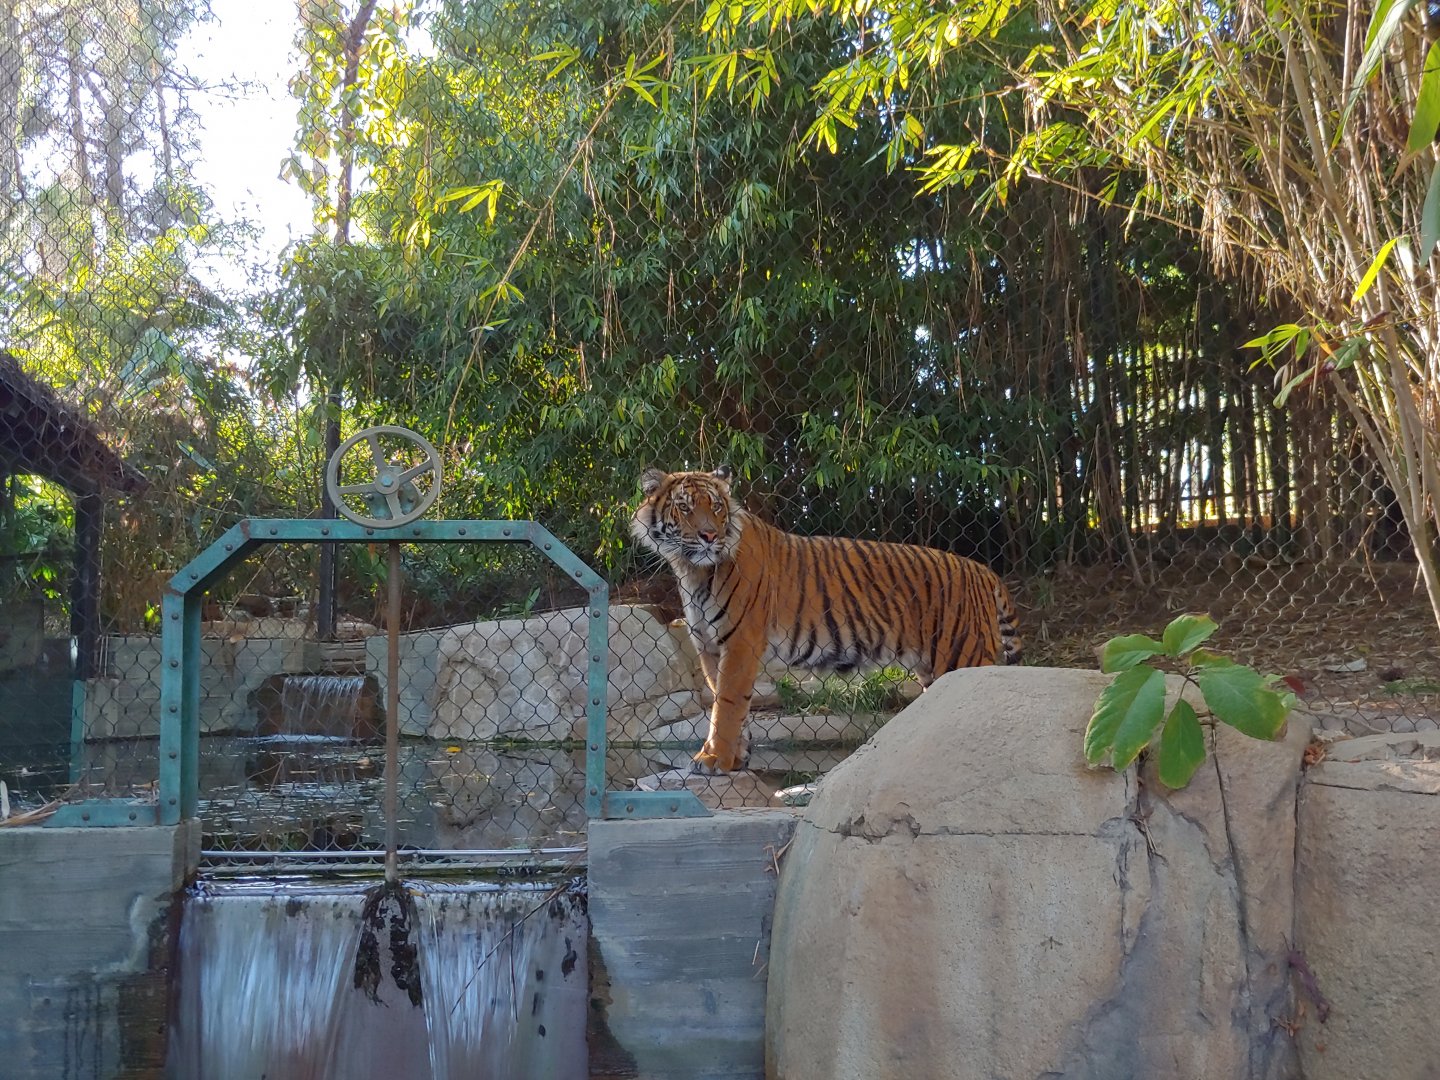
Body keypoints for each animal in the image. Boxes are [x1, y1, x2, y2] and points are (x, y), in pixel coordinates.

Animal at [632, 466, 1022, 773]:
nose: (709, 536)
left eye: (715, 506)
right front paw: (734, 757)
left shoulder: (740, 642)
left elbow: (727, 704)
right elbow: (721, 702)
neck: (692, 570)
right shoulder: (709, 645)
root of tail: (982, 570)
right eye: (684, 507)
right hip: (934, 670)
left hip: (964, 659)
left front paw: (714, 760)